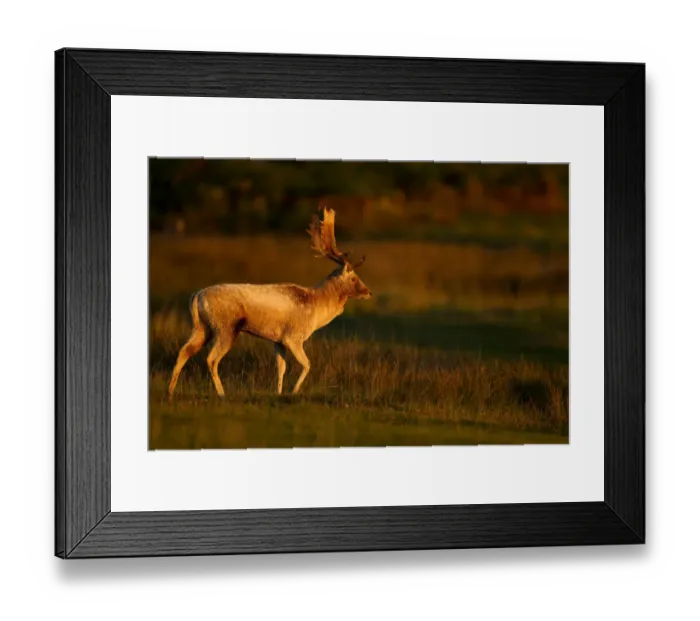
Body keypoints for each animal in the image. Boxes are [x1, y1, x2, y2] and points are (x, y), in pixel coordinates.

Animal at [167, 206, 372, 400]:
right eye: (353, 278)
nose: (369, 292)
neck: (316, 308)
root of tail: (196, 296)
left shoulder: (278, 340)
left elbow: (281, 367)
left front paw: (279, 393)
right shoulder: (293, 337)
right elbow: (307, 364)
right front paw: (294, 392)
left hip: (202, 327)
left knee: (184, 352)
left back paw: (170, 393)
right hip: (225, 328)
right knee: (211, 359)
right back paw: (222, 394)